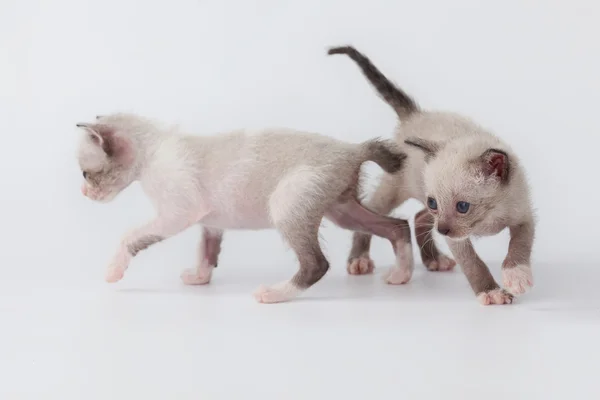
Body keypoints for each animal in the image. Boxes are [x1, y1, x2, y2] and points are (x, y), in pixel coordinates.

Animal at [75, 112, 414, 304]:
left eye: (85, 174)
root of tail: (351, 149)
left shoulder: (177, 215)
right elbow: (207, 250)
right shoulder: (210, 220)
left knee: (317, 264)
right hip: (342, 211)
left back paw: (274, 295)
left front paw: (113, 270)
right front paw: (200, 278)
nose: (84, 193)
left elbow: (130, 236)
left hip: (287, 205)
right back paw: (402, 275)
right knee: (397, 226)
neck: (154, 149)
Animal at [328, 45, 536, 304]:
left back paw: (434, 260)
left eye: (462, 207)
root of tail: (416, 115)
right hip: (395, 189)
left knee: (418, 217)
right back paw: (359, 260)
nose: (442, 230)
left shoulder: (524, 216)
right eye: (434, 202)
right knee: (370, 213)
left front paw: (516, 275)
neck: (490, 218)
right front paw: (490, 291)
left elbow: (520, 244)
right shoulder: (455, 236)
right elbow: (473, 263)